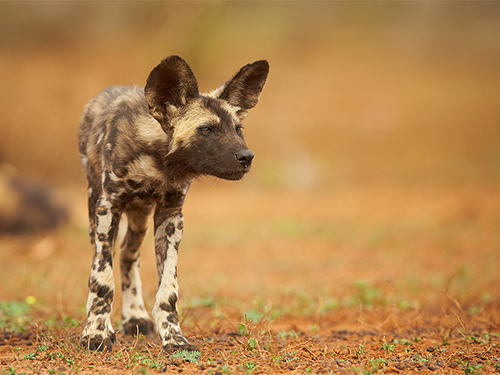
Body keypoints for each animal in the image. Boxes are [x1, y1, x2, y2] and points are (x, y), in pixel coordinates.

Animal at [78, 54, 270, 354]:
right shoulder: (108, 208)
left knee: (128, 255)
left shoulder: (170, 216)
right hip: (96, 211)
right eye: (207, 130)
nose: (246, 157)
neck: (160, 163)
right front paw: (96, 334)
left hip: (140, 218)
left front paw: (174, 338)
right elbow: (101, 280)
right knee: (105, 260)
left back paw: (134, 316)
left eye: (238, 129)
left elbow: (168, 290)